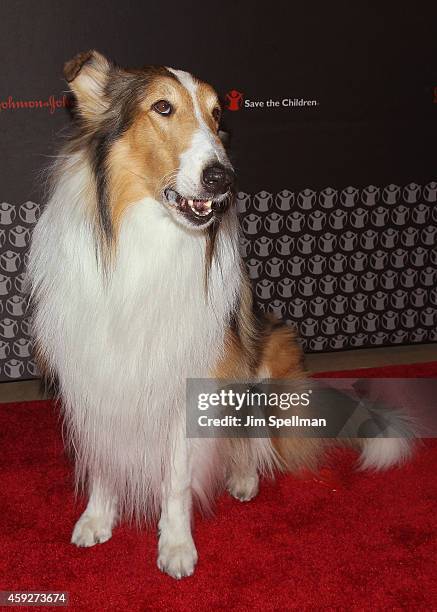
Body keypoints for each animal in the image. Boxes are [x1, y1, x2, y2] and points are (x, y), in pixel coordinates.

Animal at [27, 51, 412, 580]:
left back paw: (245, 477)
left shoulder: (187, 378)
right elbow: (102, 457)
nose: (223, 178)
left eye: (216, 115)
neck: (142, 241)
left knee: (249, 437)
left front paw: (175, 545)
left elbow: (176, 476)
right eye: (162, 107)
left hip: (266, 359)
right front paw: (97, 518)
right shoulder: (92, 375)